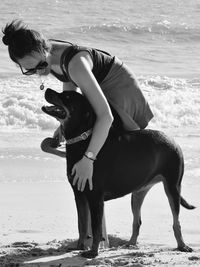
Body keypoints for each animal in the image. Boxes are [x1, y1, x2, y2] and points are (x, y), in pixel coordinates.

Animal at [41, 89, 194, 258]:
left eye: (67, 97)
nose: (47, 90)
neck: (83, 140)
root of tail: (173, 141)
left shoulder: (95, 197)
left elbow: (96, 228)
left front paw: (93, 252)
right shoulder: (79, 194)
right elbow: (82, 224)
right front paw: (79, 246)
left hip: (173, 186)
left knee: (176, 221)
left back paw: (182, 245)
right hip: (139, 191)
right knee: (137, 220)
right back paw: (130, 244)